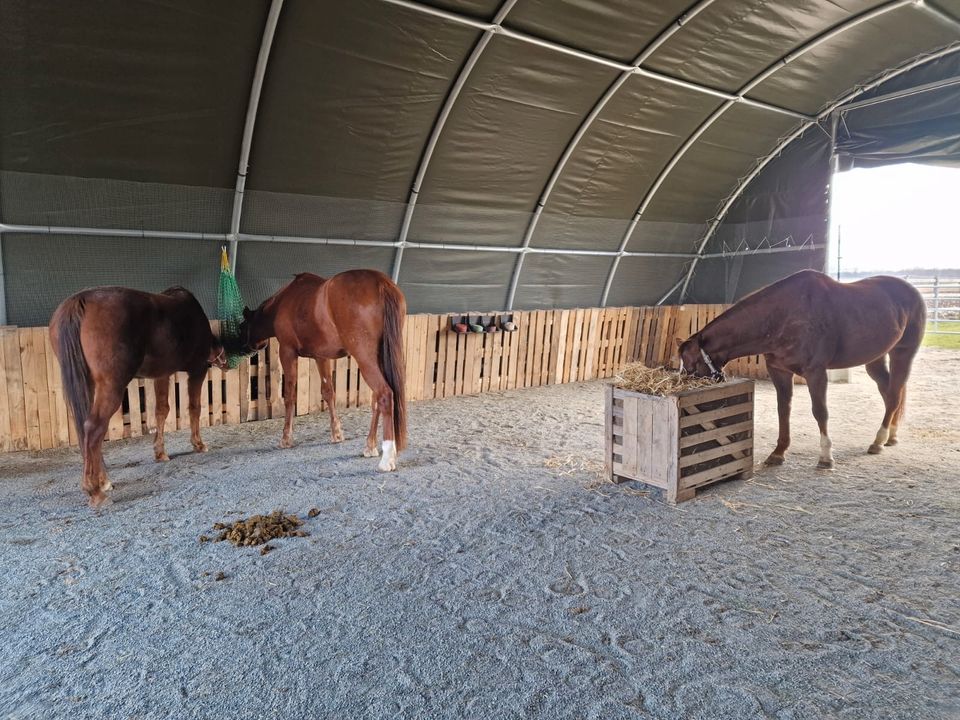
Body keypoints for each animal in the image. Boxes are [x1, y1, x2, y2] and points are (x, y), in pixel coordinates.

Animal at [50, 286, 227, 506]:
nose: (226, 363)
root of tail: (79, 301)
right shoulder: (197, 370)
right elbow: (194, 408)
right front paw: (198, 444)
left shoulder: (162, 375)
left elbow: (161, 411)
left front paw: (160, 452)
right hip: (111, 387)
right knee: (93, 428)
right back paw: (95, 491)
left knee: (84, 429)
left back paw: (104, 481)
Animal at [240, 270, 408, 472]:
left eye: (242, 327)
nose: (245, 348)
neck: (282, 303)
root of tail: (381, 283)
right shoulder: (321, 357)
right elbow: (328, 393)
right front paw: (336, 434)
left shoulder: (287, 353)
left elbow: (289, 396)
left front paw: (286, 438)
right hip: (379, 357)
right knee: (377, 398)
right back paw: (370, 446)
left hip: (365, 358)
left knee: (384, 394)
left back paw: (387, 458)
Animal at [676, 268, 924, 466]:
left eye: (691, 364)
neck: (782, 317)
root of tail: (913, 292)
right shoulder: (779, 371)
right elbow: (783, 410)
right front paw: (778, 453)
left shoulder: (815, 373)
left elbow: (820, 411)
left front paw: (826, 456)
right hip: (874, 358)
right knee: (888, 392)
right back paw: (890, 435)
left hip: (903, 353)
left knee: (894, 394)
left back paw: (878, 441)